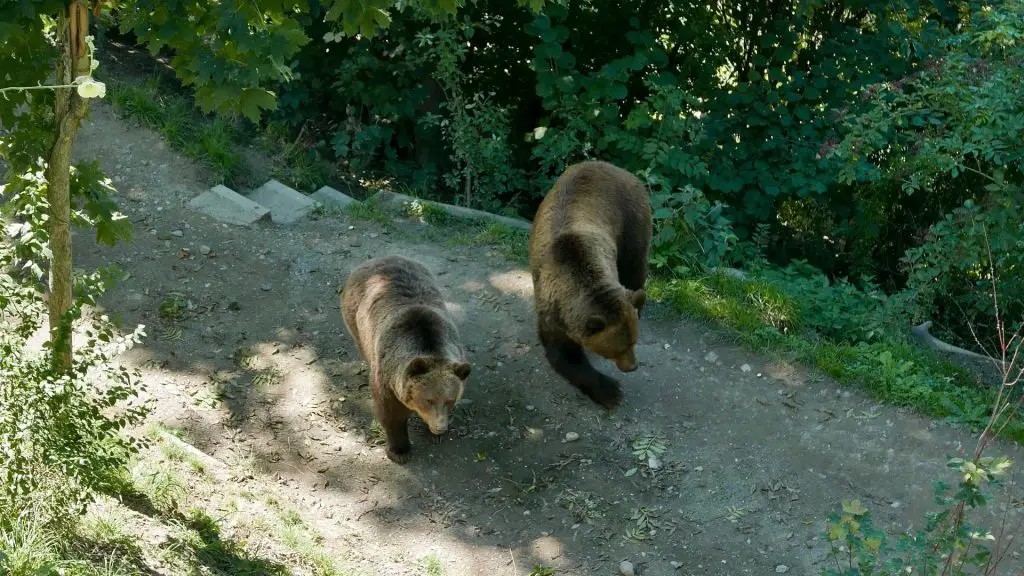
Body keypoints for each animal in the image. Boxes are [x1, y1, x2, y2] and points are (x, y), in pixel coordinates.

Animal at [342, 255, 473, 461]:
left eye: (450, 400)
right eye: (429, 399)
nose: (440, 427)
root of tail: (381, 258)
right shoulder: (387, 380)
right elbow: (391, 414)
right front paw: (399, 450)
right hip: (355, 317)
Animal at [528, 158, 647, 405]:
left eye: (633, 341)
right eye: (617, 349)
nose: (632, 366)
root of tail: (611, 165)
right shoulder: (552, 311)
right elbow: (562, 353)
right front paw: (611, 391)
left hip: (632, 220)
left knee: (635, 266)